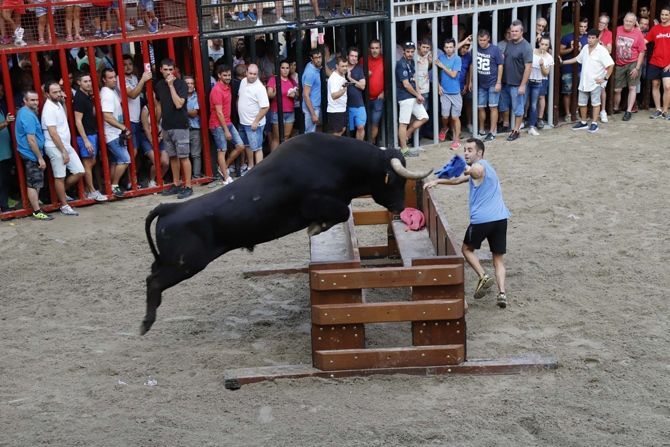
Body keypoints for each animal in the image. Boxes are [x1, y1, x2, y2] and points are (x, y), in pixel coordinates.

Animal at [141, 133, 431, 334]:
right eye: (395, 180)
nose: (400, 208)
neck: (337, 160)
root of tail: (169, 208)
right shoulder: (317, 202)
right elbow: (341, 212)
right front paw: (316, 227)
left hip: (172, 261)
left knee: (151, 274)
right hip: (186, 263)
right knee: (153, 281)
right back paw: (146, 323)